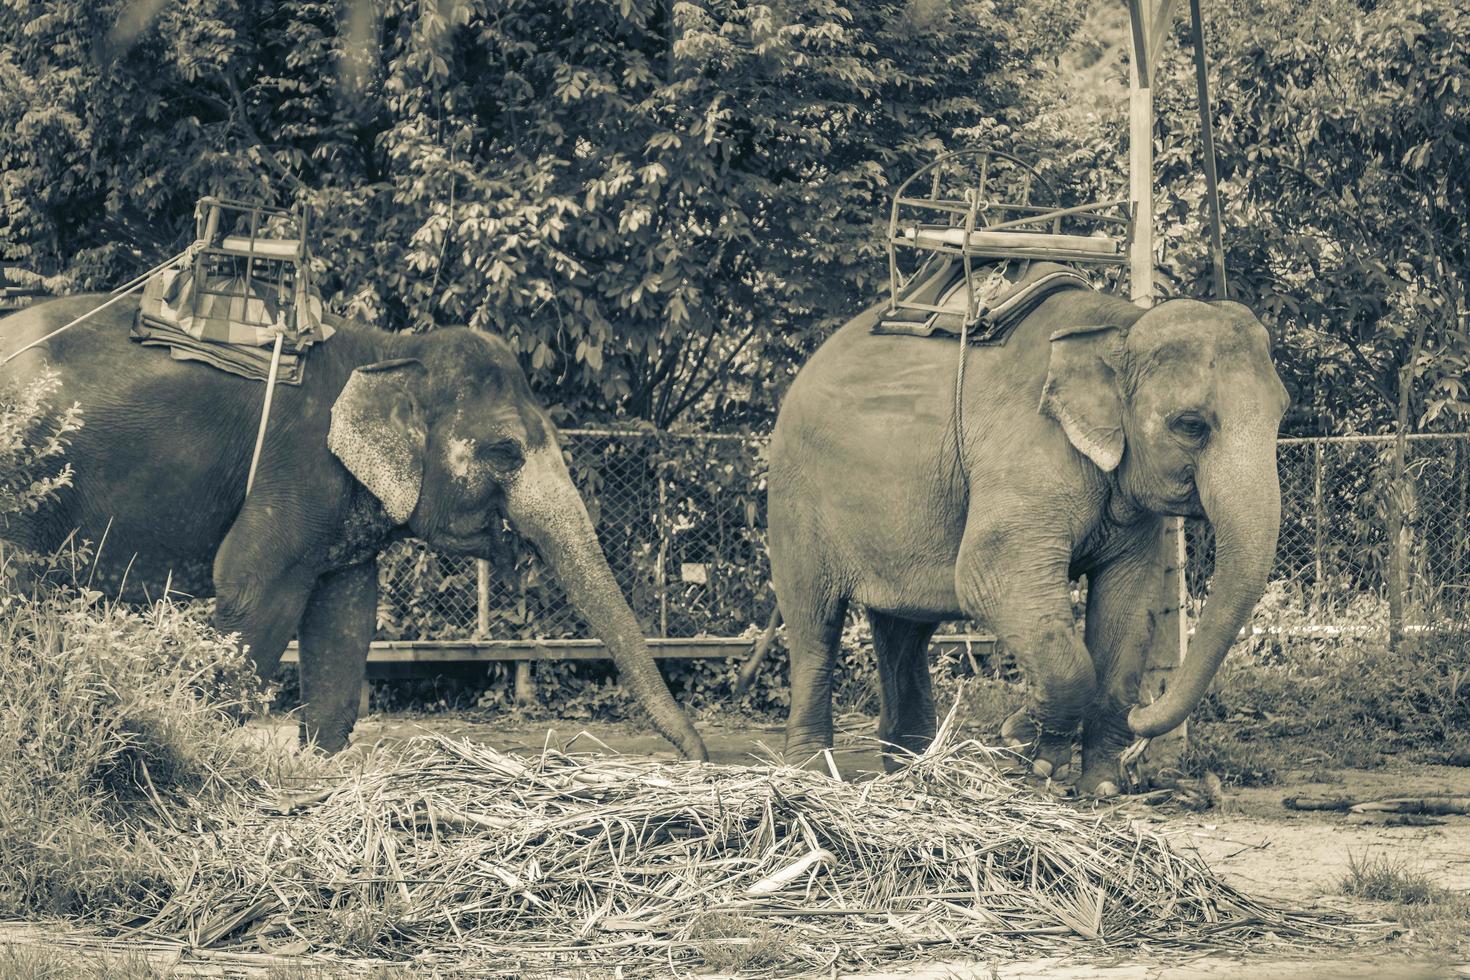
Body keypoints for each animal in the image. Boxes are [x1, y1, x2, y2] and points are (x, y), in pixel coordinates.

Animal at [0, 295, 711, 764]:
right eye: (506, 451)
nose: (701, 759)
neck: (391, 349)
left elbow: (346, 610)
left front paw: (321, 766)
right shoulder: (298, 461)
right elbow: (254, 591)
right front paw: (197, 753)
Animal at [770, 279, 1287, 793]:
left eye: (1281, 415)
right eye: (1191, 425)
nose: (1143, 714)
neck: (1118, 323)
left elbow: (1128, 601)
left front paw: (1100, 786)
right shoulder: (1023, 455)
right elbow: (988, 578)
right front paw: (1024, 744)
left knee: (904, 630)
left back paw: (914, 770)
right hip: (797, 502)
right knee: (814, 623)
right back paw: (811, 773)